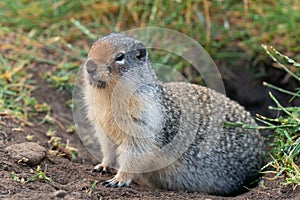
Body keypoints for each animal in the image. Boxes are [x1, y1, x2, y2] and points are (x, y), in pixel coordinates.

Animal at [82, 33, 264, 195]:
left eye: (120, 56)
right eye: (92, 47)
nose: (89, 66)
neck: (107, 96)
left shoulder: (144, 122)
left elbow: (135, 153)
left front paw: (118, 179)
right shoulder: (102, 125)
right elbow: (108, 149)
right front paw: (103, 166)